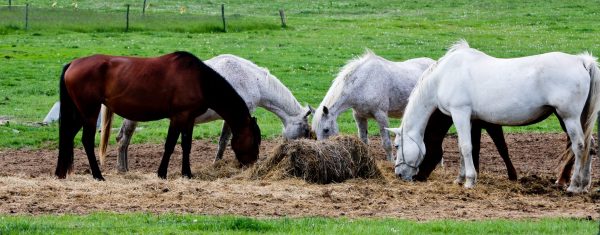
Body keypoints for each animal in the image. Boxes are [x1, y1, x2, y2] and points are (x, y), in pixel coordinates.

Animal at [55, 51, 260, 180]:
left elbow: (186, 146)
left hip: (79, 113)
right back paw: (98, 175)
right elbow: (170, 145)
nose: (254, 164)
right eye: (255, 140)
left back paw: (60, 173)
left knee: (68, 136)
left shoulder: (189, 120)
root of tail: (72, 64)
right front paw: (162, 173)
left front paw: (187, 173)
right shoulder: (179, 117)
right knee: (87, 141)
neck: (199, 80)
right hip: (89, 112)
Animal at [100, 53, 312, 171]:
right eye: (305, 131)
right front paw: (217, 164)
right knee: (123, 139)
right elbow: (224, 141)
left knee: (123, 140)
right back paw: (122, 170)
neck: (252, 78)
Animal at [386, 40, 596, 193]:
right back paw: (584, 185)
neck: (443, 76)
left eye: (397, 146)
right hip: (577, 119)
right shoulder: (470, 119)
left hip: (568, 117)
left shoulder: (460, 113)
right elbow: (465, 149)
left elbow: (466, 147)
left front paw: (469, 181)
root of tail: (582, 61)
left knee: (579, 146)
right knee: (590, 145)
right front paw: (460, 178)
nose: (398, 174)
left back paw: (573, 186)